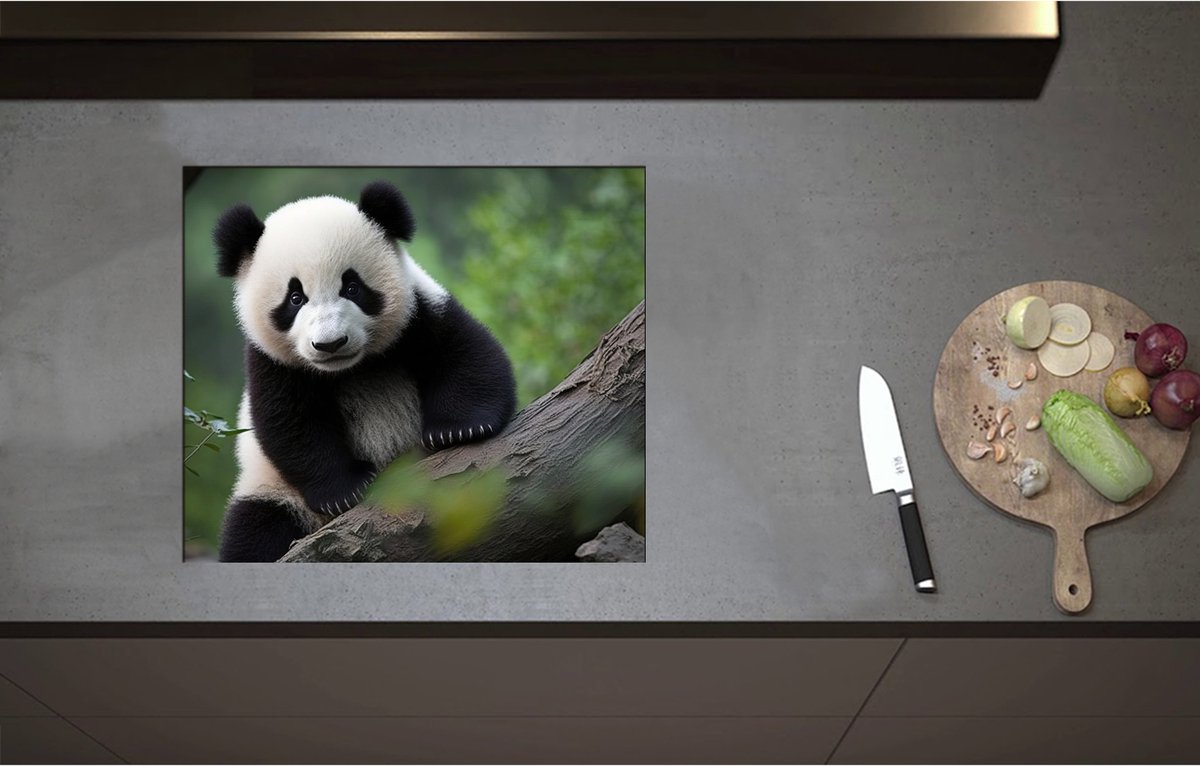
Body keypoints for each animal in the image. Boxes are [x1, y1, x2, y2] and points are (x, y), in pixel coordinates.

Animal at [212, 180, 516, 562]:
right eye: (295, 298)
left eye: (352, 287)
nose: (330, 343)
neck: (351, 369)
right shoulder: (272, 362)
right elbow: (290, 423)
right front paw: (345, 489)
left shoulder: (418, 314)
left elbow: (466, 355)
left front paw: (459, 429)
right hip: (272, 490)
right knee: (254, 531)